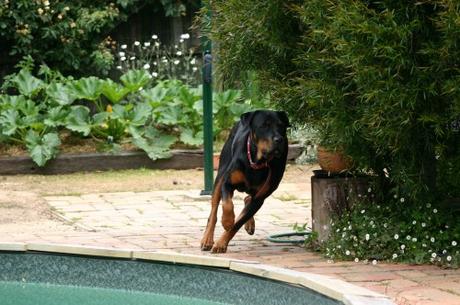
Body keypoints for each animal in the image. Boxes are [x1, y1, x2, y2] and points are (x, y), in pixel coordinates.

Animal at [200, 109, 290, 252]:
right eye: (264, 126)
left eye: (281, 126)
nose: (279, 139)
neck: (257, 162)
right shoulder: (227, 183)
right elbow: (227, 204)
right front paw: (227, 221)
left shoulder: (259, 197)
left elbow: (239, 222)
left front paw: (221, 243)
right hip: (221, 172)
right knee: (213, 211)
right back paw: (207, 240)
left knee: (248, 199)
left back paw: (249, 224)